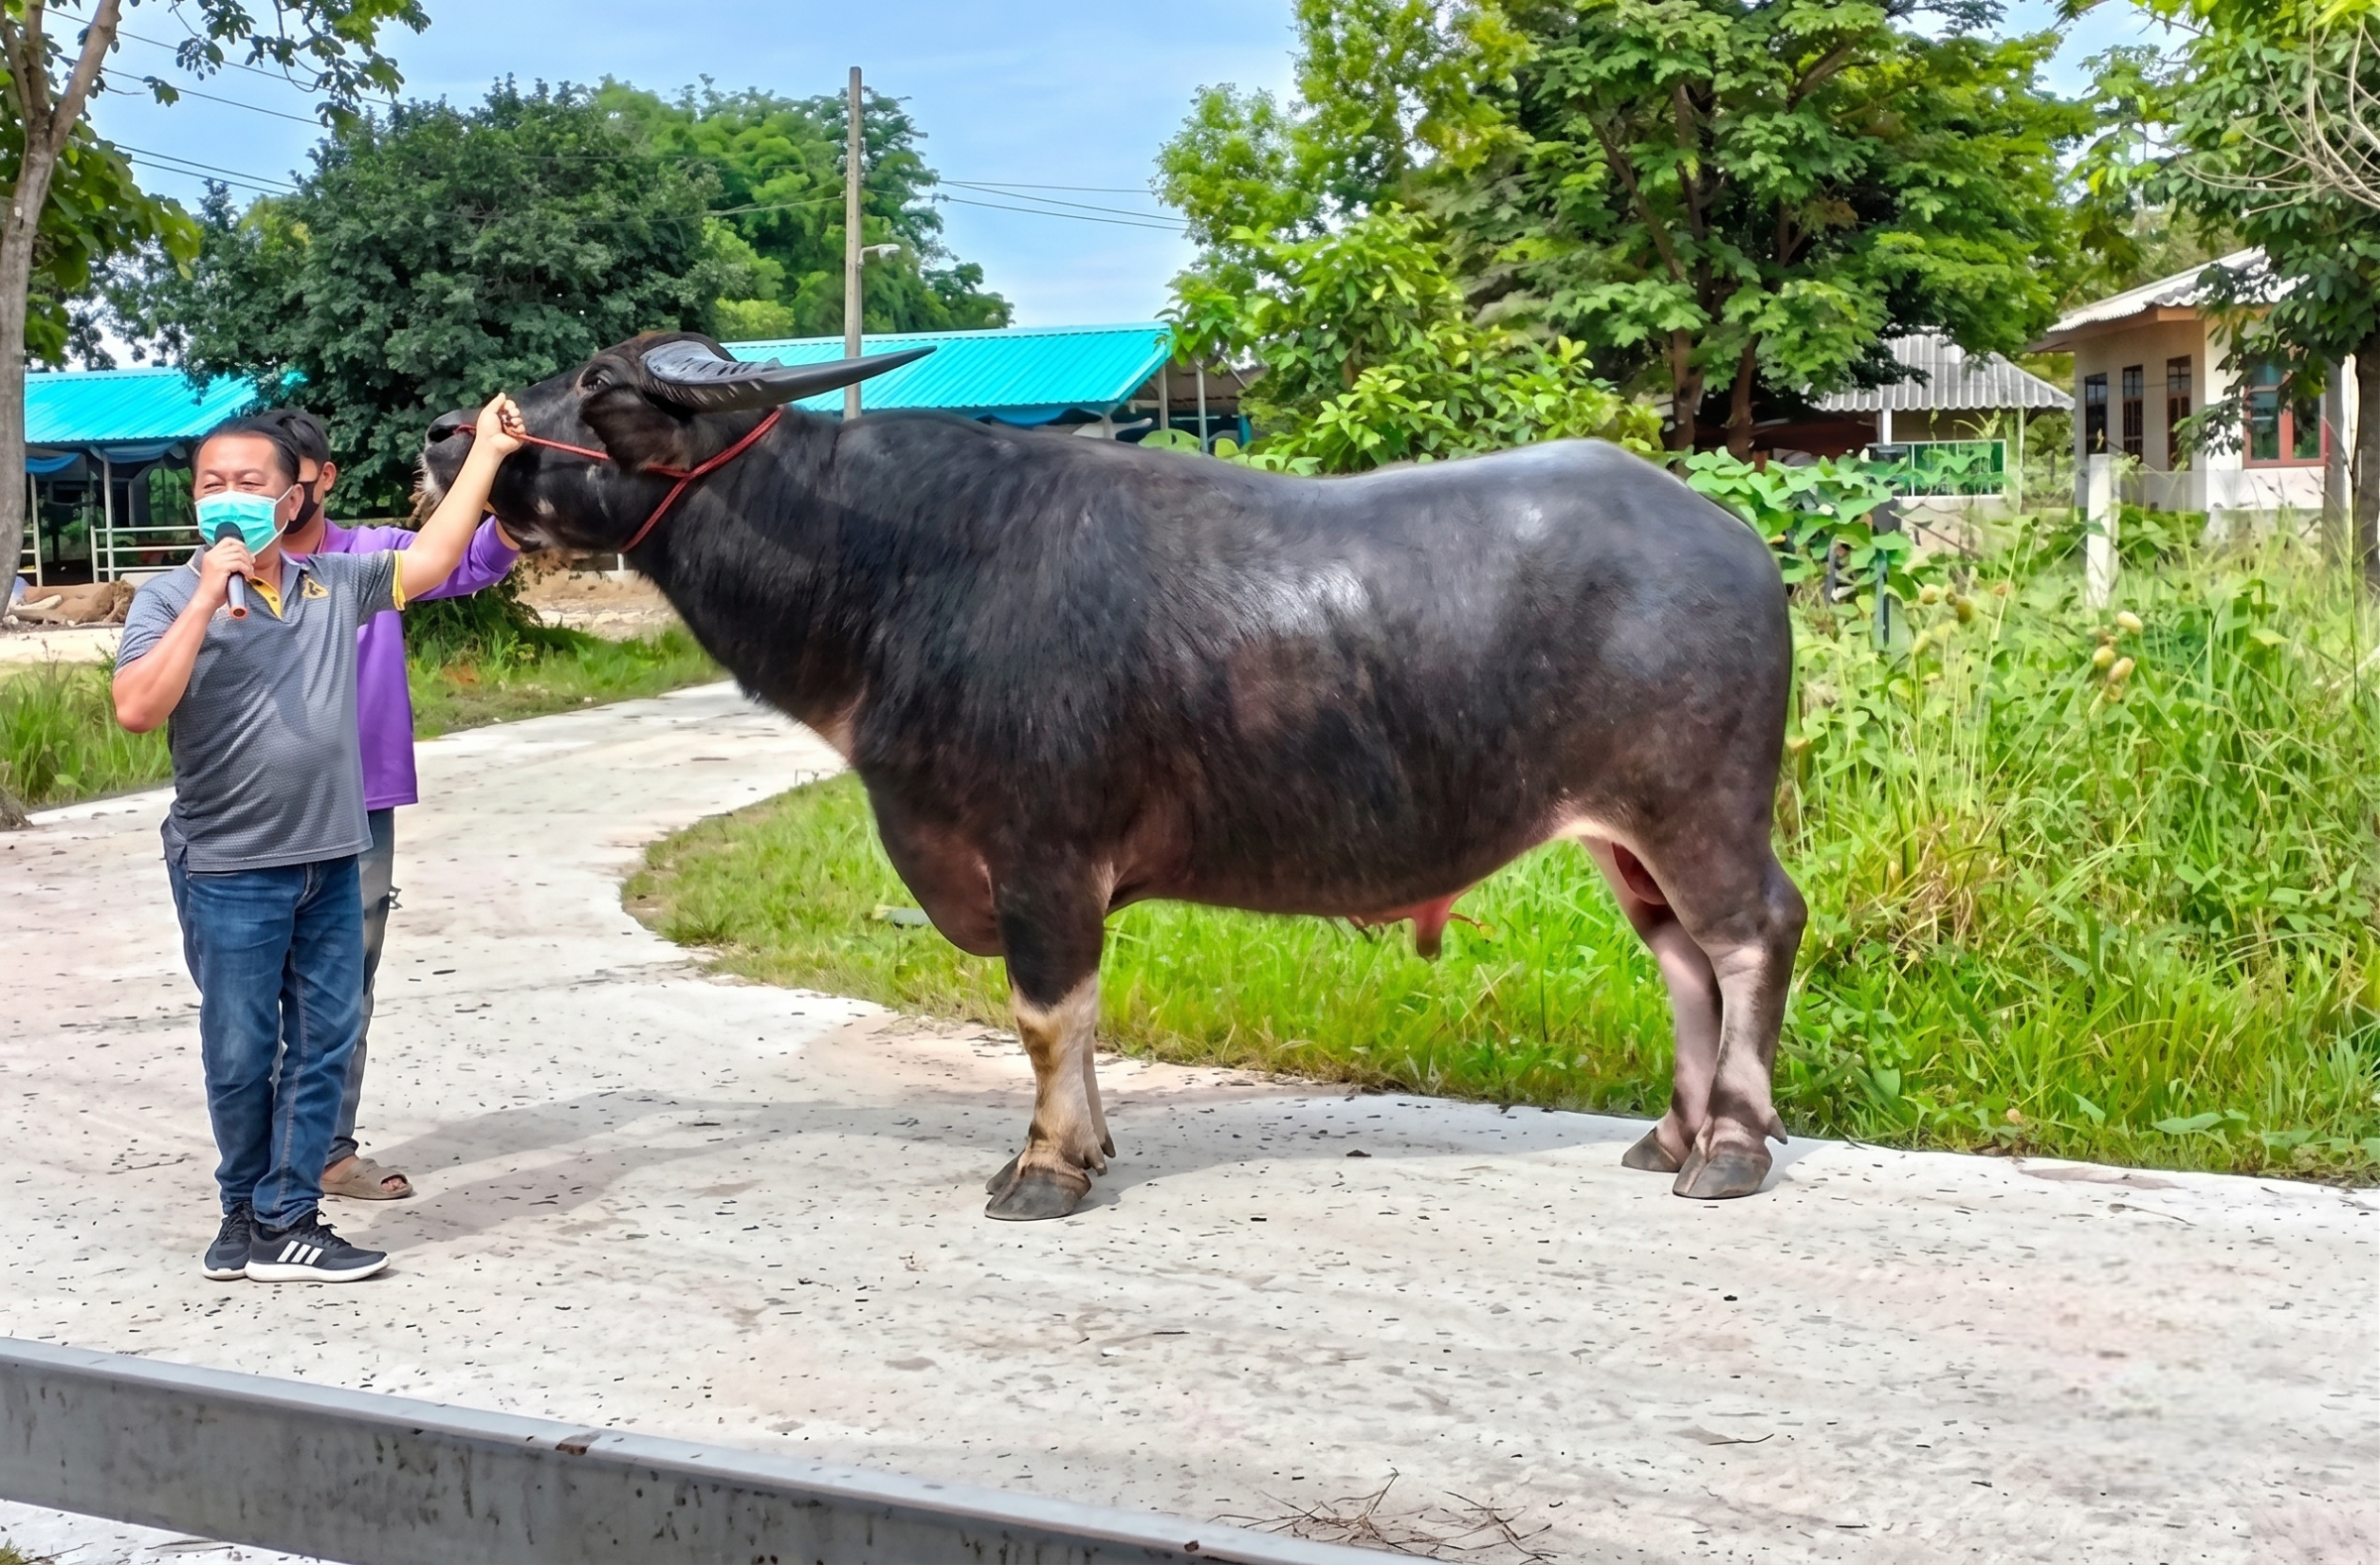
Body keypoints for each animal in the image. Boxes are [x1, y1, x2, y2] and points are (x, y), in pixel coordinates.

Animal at [421, 333, 1806, 1221]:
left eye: (599, 385)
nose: (446, 437)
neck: (898, 571)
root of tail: (1729, 535)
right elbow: (1072, 1024)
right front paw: (1088, 1146)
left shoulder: (1040, 852)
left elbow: (1046, 1016)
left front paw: (1045, 1172)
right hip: (1623, 834)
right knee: (1682, 960)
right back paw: (1668, 1136)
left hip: (1698, 808)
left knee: (1750, 935)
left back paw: (1731, 1150)